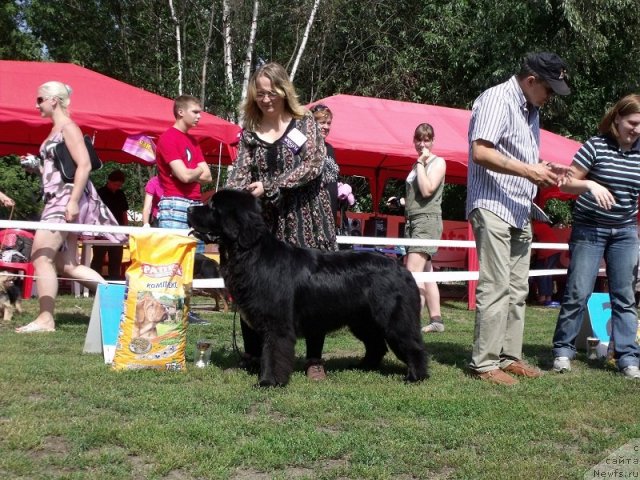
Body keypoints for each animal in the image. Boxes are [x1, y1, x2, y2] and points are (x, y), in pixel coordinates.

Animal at [188, 188, 428, 386]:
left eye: (212, 207)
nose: (190, 209)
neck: (250, 252)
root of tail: (403, 269)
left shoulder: (277, 323)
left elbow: (273, 353)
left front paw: (268, 381)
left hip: (393, 318)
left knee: (413, 346)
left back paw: (415, 376)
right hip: (362, 320)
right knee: (377, 345)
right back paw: (363, 367)